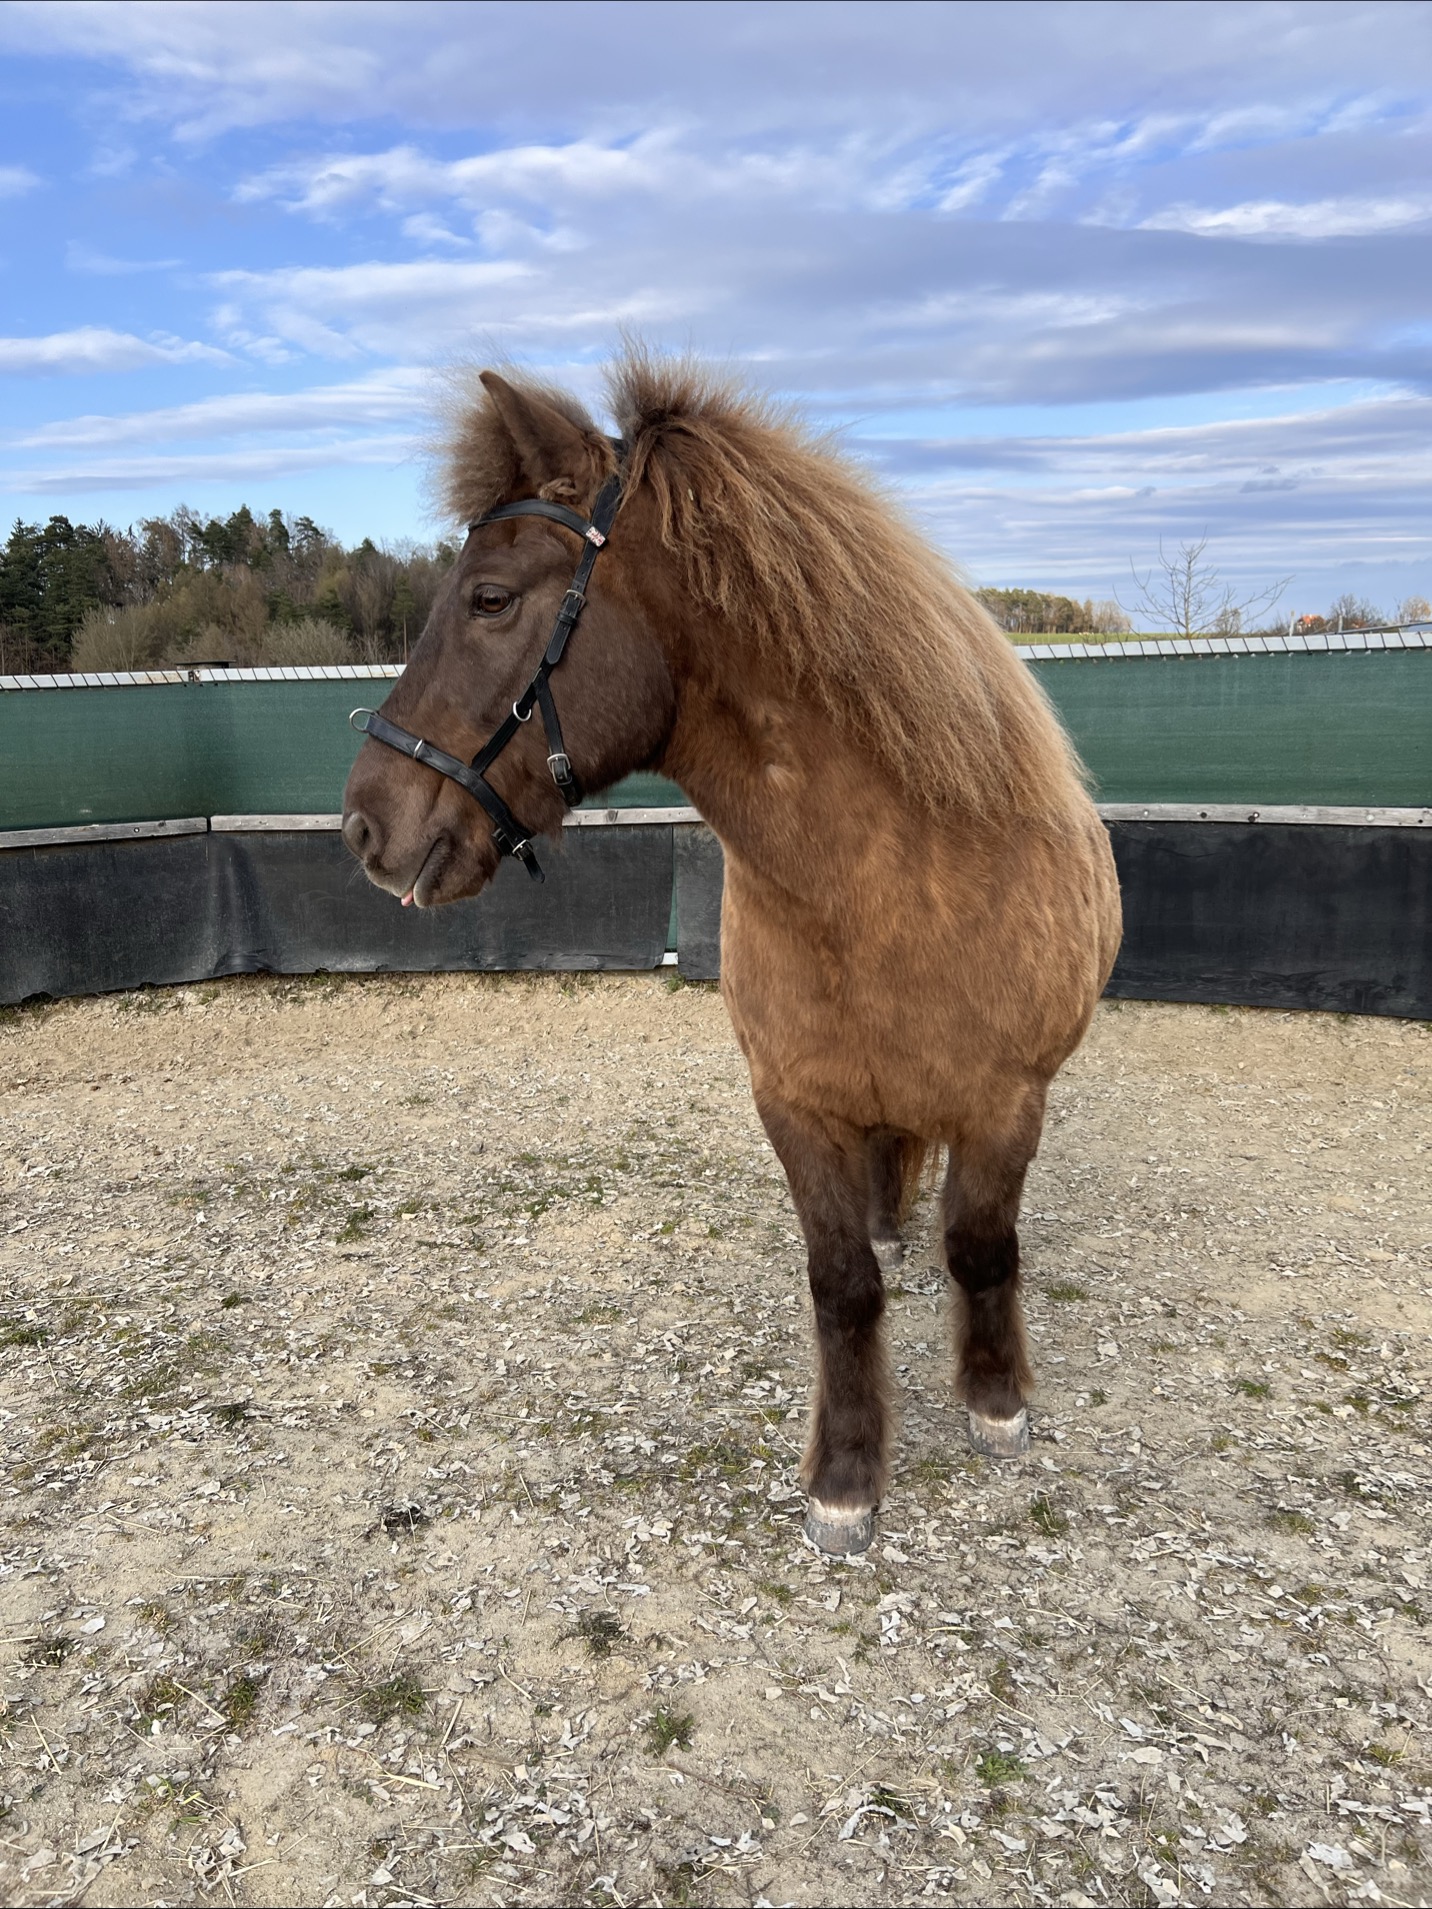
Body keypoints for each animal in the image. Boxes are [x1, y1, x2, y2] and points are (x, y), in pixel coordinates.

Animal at [341, 352, 1122, 1556]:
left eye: (490, 598)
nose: (367, 825)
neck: (886, 888)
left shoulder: (1007, 1104)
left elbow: (985, 1249)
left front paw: (995, 1404)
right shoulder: (794, 1104)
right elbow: (842, 1283)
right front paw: (845, 1475)